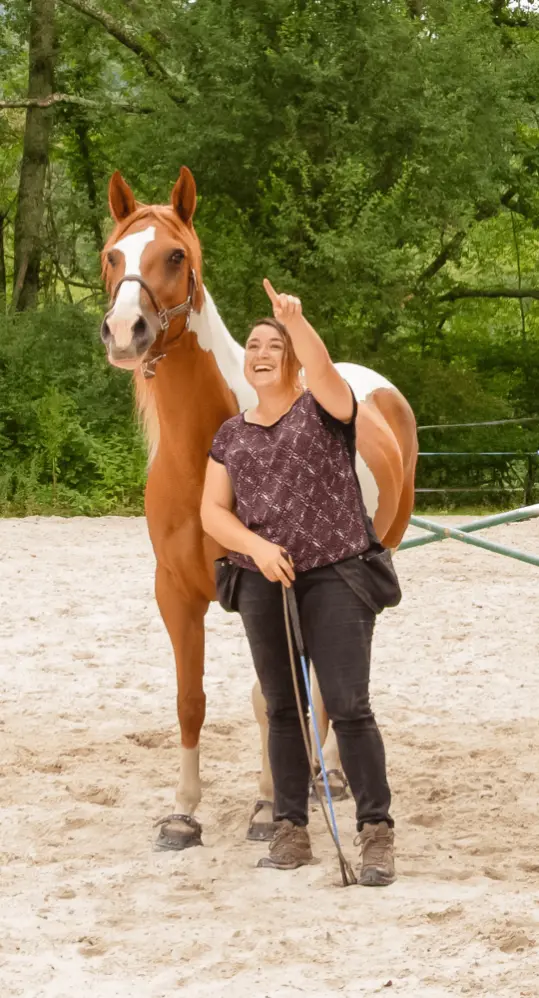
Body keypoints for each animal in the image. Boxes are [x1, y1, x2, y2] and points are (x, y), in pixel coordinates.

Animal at [102, 164, 422, 852]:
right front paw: (184, 813)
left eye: (176, 255)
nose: (124, 331)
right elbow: (190, 700)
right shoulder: (175, 593)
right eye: (113, 254)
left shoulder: (269, 589)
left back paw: (328, 773)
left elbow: (269, 697)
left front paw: (269, 802)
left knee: (331, 679)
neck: (205, 452)